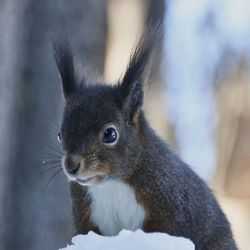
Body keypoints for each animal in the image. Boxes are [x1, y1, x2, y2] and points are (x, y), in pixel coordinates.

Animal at [53, 27, 237, 250]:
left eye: (110, 134)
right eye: (60, 134)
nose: (71, 166)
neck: (111, 183)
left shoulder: (171, 204)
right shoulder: (86, 218)